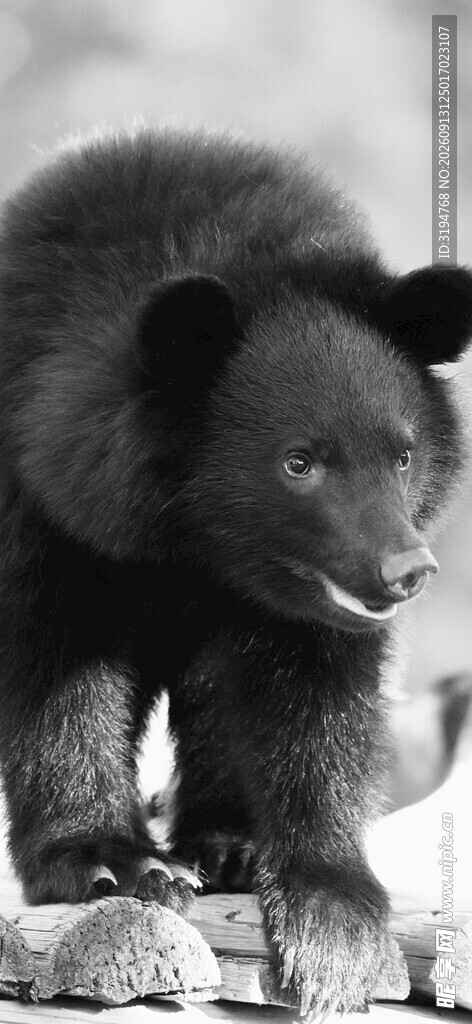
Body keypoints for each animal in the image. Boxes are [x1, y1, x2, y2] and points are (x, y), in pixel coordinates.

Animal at [0, 126, 471, 1017]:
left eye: (402, 455)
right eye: (298, 462)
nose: (406, 570)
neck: (200, 544)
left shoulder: (303, 600)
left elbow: (318, 693)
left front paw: (333, 928)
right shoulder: (41, 499)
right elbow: (54, 661)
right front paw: (109, 863)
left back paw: (227, 847)